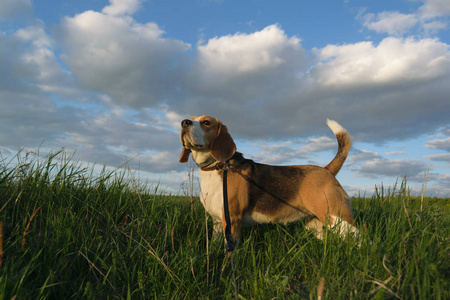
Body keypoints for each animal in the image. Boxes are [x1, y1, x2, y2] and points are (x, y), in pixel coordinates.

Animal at [179, 116, 358, 245]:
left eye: (206, 122)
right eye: (192, 118)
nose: (184, 122)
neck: (216, 167)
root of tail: (326, 170)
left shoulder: (232, 219)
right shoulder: (217, 221)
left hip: (338, 217)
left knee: (359, 237)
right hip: (315, 223)